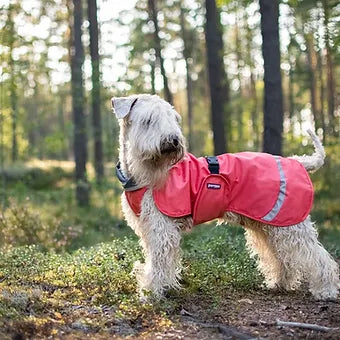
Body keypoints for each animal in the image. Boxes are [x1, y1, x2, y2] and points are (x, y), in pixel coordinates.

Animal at [112, 93, 340, 300]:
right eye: (148, 120)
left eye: (173, 118)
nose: (173, 140)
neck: (140, 175)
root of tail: (298, 161)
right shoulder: (150, 228)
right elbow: (161, 260)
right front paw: (163, 287)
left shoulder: (161, 228)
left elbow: (158, 262)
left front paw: (151, 293)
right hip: (269, 226)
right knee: (282, 258)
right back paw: (279, 283)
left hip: (291, 226)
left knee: (318, 257)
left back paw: (326, 290)